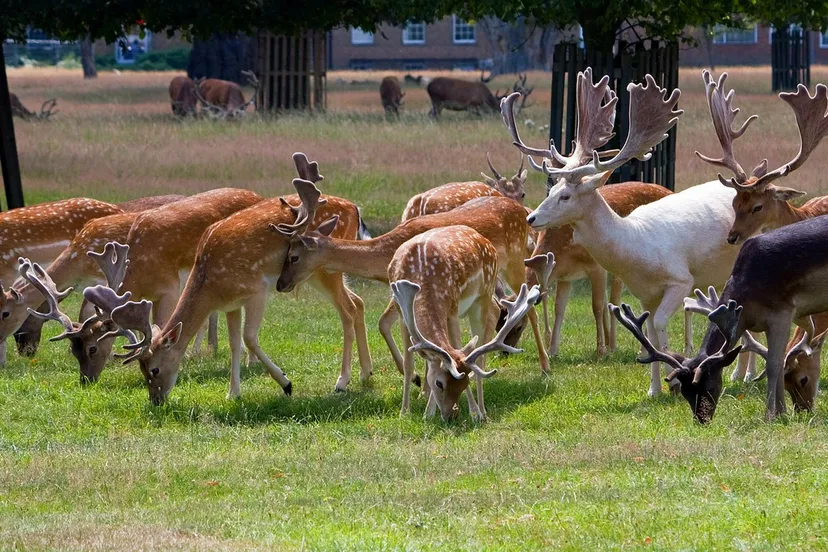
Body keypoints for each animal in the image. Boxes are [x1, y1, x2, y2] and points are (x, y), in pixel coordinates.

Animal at [106, 156, 372, 404]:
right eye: (141, 369)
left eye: (155, 369)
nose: (156, 400)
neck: (212, 285)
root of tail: (355, 209)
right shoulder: (231, 304)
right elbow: (235, 343)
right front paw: (233, 393)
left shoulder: (256, 290)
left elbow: (250, 338)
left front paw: (286, 383)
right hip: (316, 275)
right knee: (358, 301)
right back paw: (366, 373)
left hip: (325, 269)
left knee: (348, 309)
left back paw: (342, 381)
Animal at [274, 194, 551, 382]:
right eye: (285, 252)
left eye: (294, 256)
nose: (280, 284)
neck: (386, 252)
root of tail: (523, 211)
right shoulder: (400, 287)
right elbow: (384, 323)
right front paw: (414, 377)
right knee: (496, 309)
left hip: (515, 260)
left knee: (529, 304)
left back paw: (545, 365)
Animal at [389, 226, 544, 421]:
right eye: (439, 383)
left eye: (464, 383)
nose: (451, 415)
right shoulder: (402, 312)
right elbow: (410, 364)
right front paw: (407, 412)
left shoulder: (452, 308)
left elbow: (455, 350)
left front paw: (472, 412)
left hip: (483, 295)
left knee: (482, 355)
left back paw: (481, 411)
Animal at [500, 68, 762, 398]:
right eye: (552, 189)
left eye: (566, 196)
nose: (532, 217)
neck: (634, 249)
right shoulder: (644, 293)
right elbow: (648, 331)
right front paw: (653, 390)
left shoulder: (681, 279)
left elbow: (660, 326)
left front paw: (675, 380)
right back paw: (741, 373)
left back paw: (745, 375)